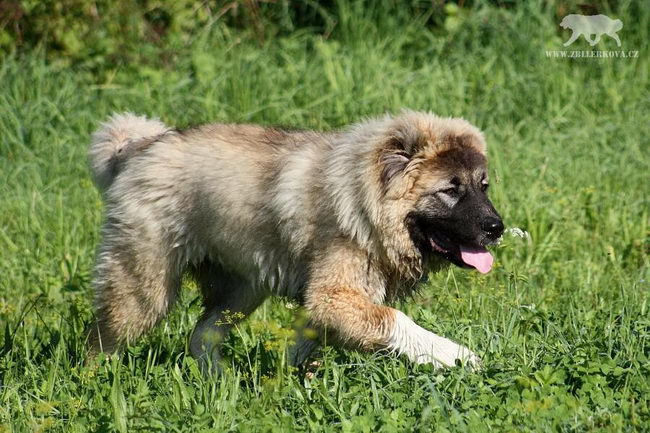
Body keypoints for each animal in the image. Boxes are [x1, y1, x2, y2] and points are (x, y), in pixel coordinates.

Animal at [87, 110, 502, 368]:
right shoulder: (332, 296)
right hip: (143, 289)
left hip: (243, 289)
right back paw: (98, 383)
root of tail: (139, 148)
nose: (496, 227)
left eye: (483, 187)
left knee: (202, 337)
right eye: (450, 190)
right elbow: (396, 320)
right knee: (102, 340)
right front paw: (458, 357)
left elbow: (301, 346)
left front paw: (288, 382)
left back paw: (222, 384)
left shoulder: (322, 305)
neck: (366, 199)